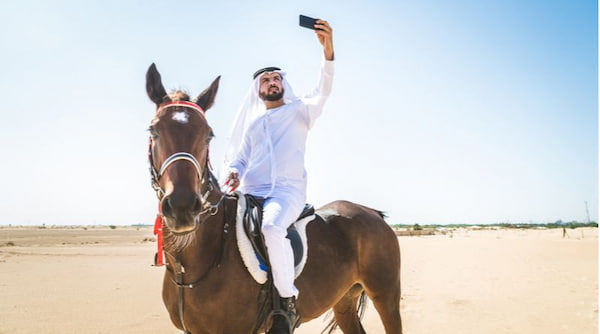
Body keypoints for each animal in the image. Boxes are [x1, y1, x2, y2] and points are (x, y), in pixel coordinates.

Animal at [144, 63, 404, 334]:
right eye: (153, 130)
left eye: (209, 134)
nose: (182, 207)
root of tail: (373, 213)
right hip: (344, 300)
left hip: (385, 295)